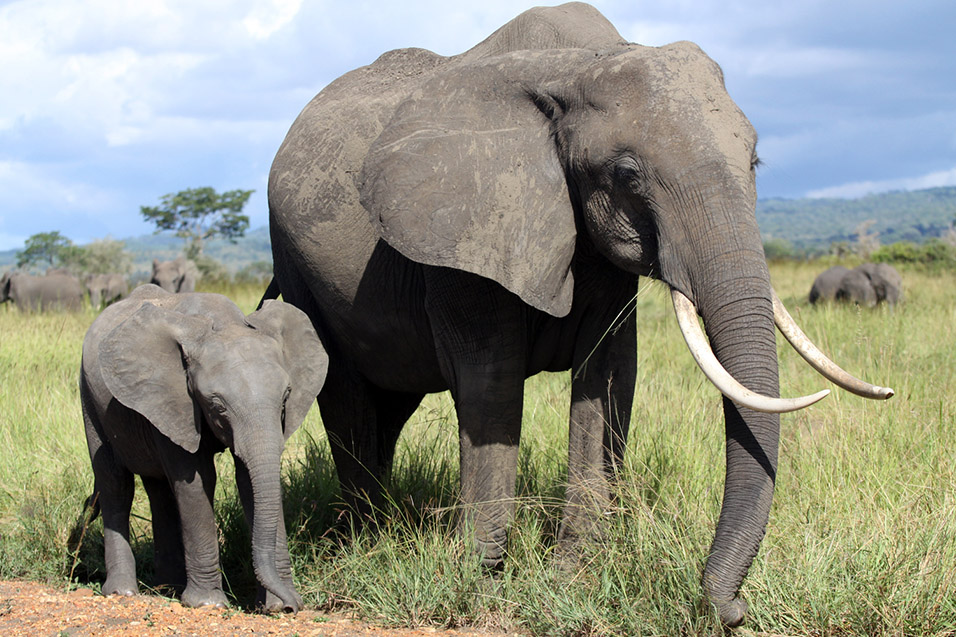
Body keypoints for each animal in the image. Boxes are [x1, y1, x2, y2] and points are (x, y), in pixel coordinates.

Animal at [76, 284, 328, 612]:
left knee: (159, 490)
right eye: (216, 405)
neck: (223, 324)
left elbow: (248, 481)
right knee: (115, 482)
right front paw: (208, 604)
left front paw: (274, 604)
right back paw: (123, 592)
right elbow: (197, 480)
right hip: (88, 394)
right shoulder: (174, 400)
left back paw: (167, 587)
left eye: (286, 397)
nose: (291, 607)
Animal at [264, 2, 896, 624]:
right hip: (295, 265)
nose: (732, 608)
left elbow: (609, 375)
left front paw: (574, 578)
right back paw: (367, 540)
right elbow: (492, 381)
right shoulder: (466, 231)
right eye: (627, 175)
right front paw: (482, 581)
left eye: (756, 161)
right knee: (347, 396)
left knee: (390, 405)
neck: (576, 66)